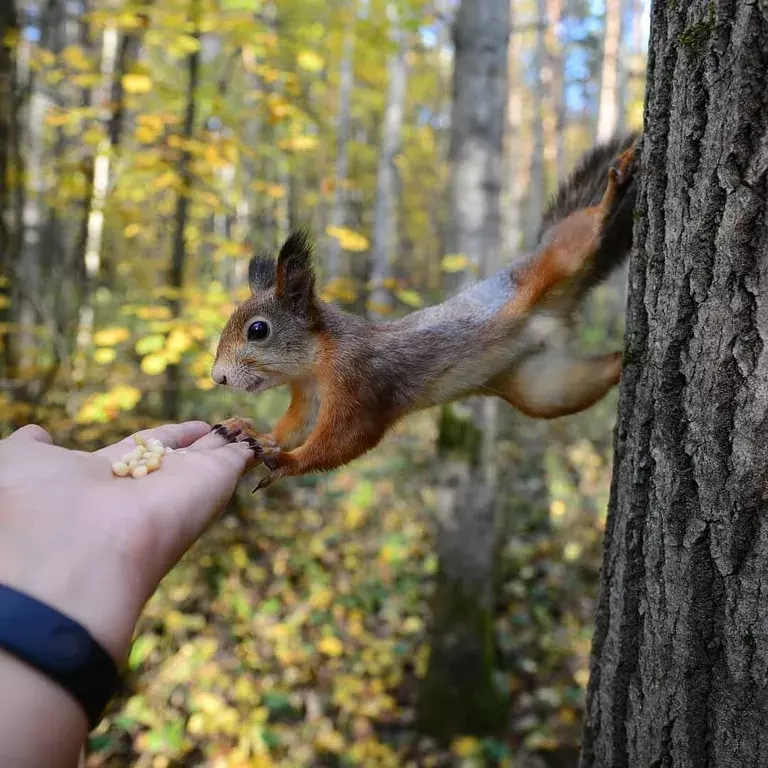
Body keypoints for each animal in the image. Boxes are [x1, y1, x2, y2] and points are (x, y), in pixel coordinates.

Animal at [208, 134, 636, 488]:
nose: (218, 378)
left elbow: (346, 439)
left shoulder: (359, 384)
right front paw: (249, 431)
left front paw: (287, 462)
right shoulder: (307, 395)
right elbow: (294, 427)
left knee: (584, 232)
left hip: (561, 259)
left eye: (258, 330)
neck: (317, 363)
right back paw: (623, 361)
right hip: (540, 386)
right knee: (574, 385)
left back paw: (614, 187)